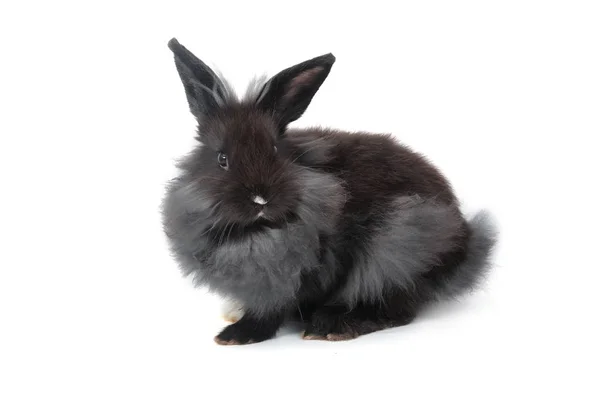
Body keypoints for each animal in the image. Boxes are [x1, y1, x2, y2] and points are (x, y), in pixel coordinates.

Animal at [161, 38, 496, 344]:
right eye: (222, 159)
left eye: (275, 151)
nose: (261, 200)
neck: (254, 233)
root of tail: (466, 244)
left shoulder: (290, 278)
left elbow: (271, 310)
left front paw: (237, 335)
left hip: (401, 239)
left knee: (396, 307)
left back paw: (332, 326)